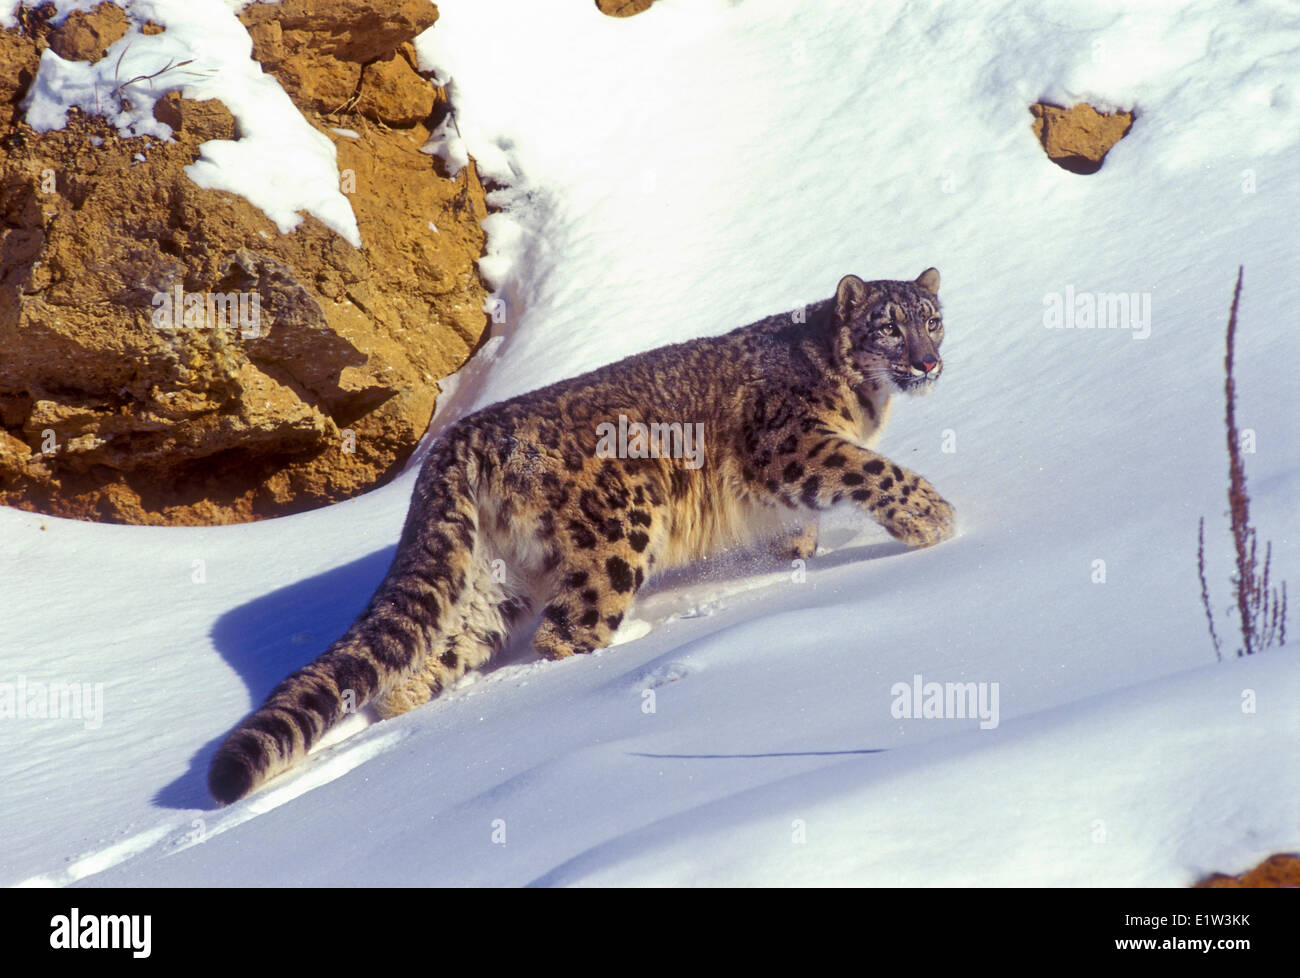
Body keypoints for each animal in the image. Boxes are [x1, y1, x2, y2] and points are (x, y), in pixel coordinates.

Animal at [205, 267, 956, 801]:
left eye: (933, 321)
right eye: (889, 327)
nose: (928, 363)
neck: (865, 399)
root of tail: (456, 441)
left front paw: (795, 554)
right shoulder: (795, 446)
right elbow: (869, 470)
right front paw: (936, 519)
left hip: (494, 580)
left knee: (432, 655)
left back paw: (412, 713)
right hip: (619, 532)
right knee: (568, 632)